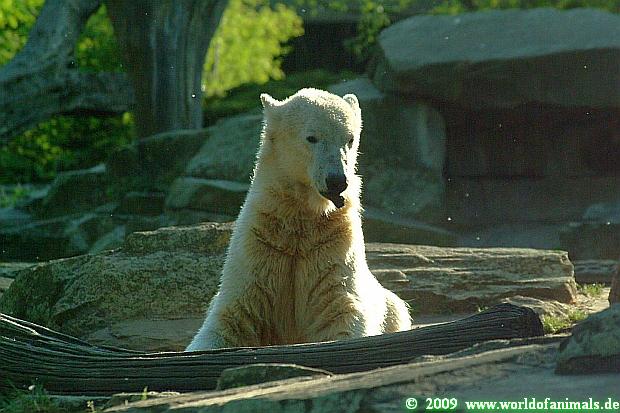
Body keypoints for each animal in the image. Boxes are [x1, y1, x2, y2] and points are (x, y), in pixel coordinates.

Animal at [186, 88, 411, 351]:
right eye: (312, 138)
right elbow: (229, 320)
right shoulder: (258, 250)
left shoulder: (333, 246)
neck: (301, 216)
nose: (337, 181)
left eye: (349, 139)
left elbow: (341, 310)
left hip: (392, 308)